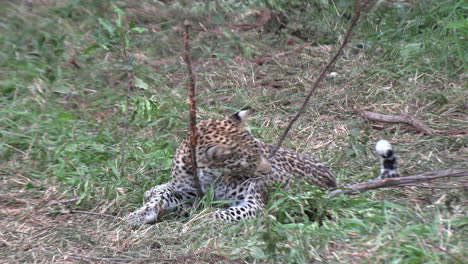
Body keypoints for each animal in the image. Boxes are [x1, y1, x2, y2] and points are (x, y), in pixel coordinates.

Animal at [125, 109, 398, 225]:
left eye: (259, 150)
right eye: (248, 160)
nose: (268, 172)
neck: (208, 176)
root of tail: (333, 181)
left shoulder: (253, 204)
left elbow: (220, 213)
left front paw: (198, 220)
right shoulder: (185, 193)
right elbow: (162, 198)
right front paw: (139, 214)